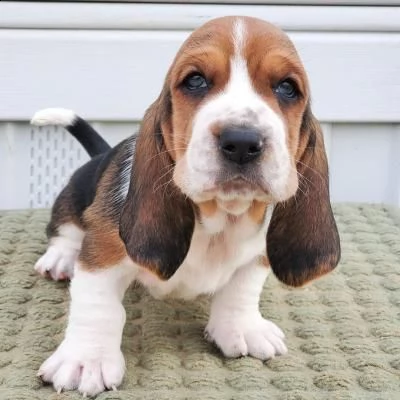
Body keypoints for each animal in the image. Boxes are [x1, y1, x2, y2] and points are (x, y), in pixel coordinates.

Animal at [31, 16, 340, 396]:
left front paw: (241, 328)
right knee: (65, 230)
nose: (242, 141)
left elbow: (242, 288)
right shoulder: (103, 252)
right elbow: (98, 305)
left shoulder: (257, 254)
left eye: (287, 88)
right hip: (73, 197)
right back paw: (61, 259)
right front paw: (85, 360)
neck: (221, 216)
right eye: (195, 81)